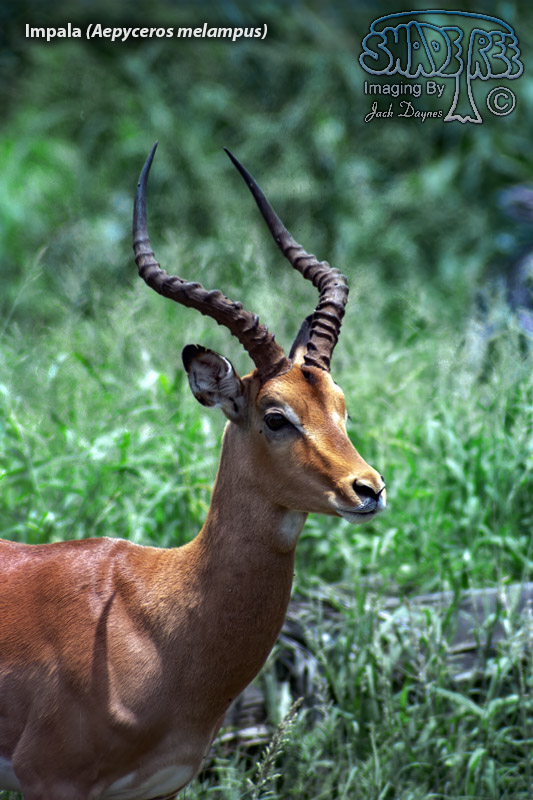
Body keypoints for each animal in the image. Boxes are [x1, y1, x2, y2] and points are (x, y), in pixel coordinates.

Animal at [0, 144, 386, 800]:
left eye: (341, 405)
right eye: (276, 416)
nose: (369, 489)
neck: (154, 619)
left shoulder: (161, 784)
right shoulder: (48, 779)